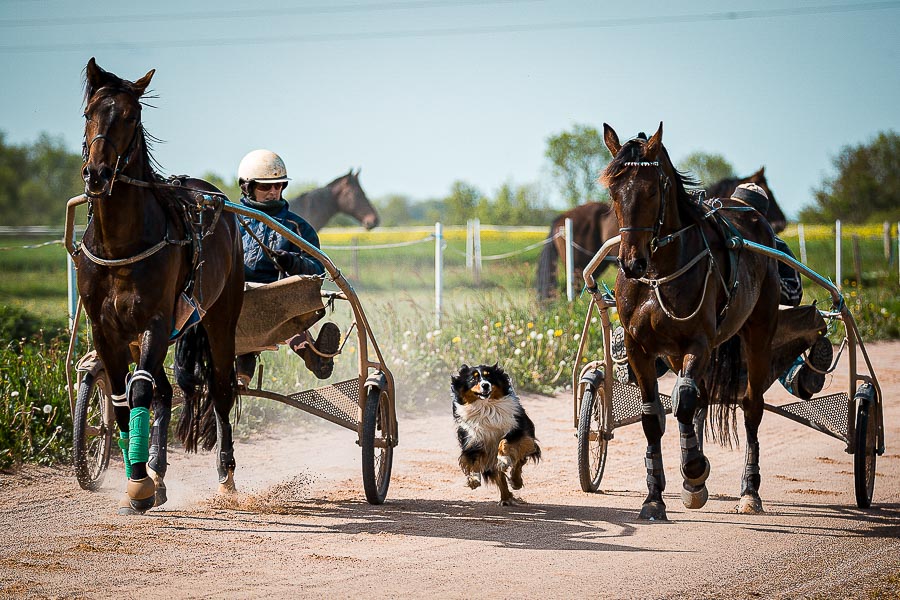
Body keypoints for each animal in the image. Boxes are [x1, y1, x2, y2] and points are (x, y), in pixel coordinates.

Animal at [77, 58, 244, 512]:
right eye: (89, 113)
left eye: (131, 116)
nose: (97, 174)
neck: (120, 244)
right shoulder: (106, 330)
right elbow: (122, 399)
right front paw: (141, 477)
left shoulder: (154, 320)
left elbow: (138, 392)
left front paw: (138, 486)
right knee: (165, 392)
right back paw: (157, 469)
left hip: (221, 316)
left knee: (220, 388)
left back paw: (225, 474)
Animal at [450, 364, 540, 504]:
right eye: (473, 379)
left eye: (489, 377)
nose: (485, 385)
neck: (486, 407)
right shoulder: (472, 440)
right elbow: (473, 460)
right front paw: (473, 480)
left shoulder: (518, 431)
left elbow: (504, 442)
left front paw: (503, 460)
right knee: (499, 475)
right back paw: (505, 498)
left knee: (517, 464)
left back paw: (516, 482)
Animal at [600, 123, 784, 520]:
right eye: (613, 190)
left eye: (651, 190)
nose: (631, 262)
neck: (657, 273)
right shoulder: (640, 348)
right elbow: (653, 416)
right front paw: (655, 497)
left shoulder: (698, 342)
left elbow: (683, 401)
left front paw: (696, 472)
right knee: (698, 399)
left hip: (759, 331)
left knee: (751, 406)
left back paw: (749, 492)